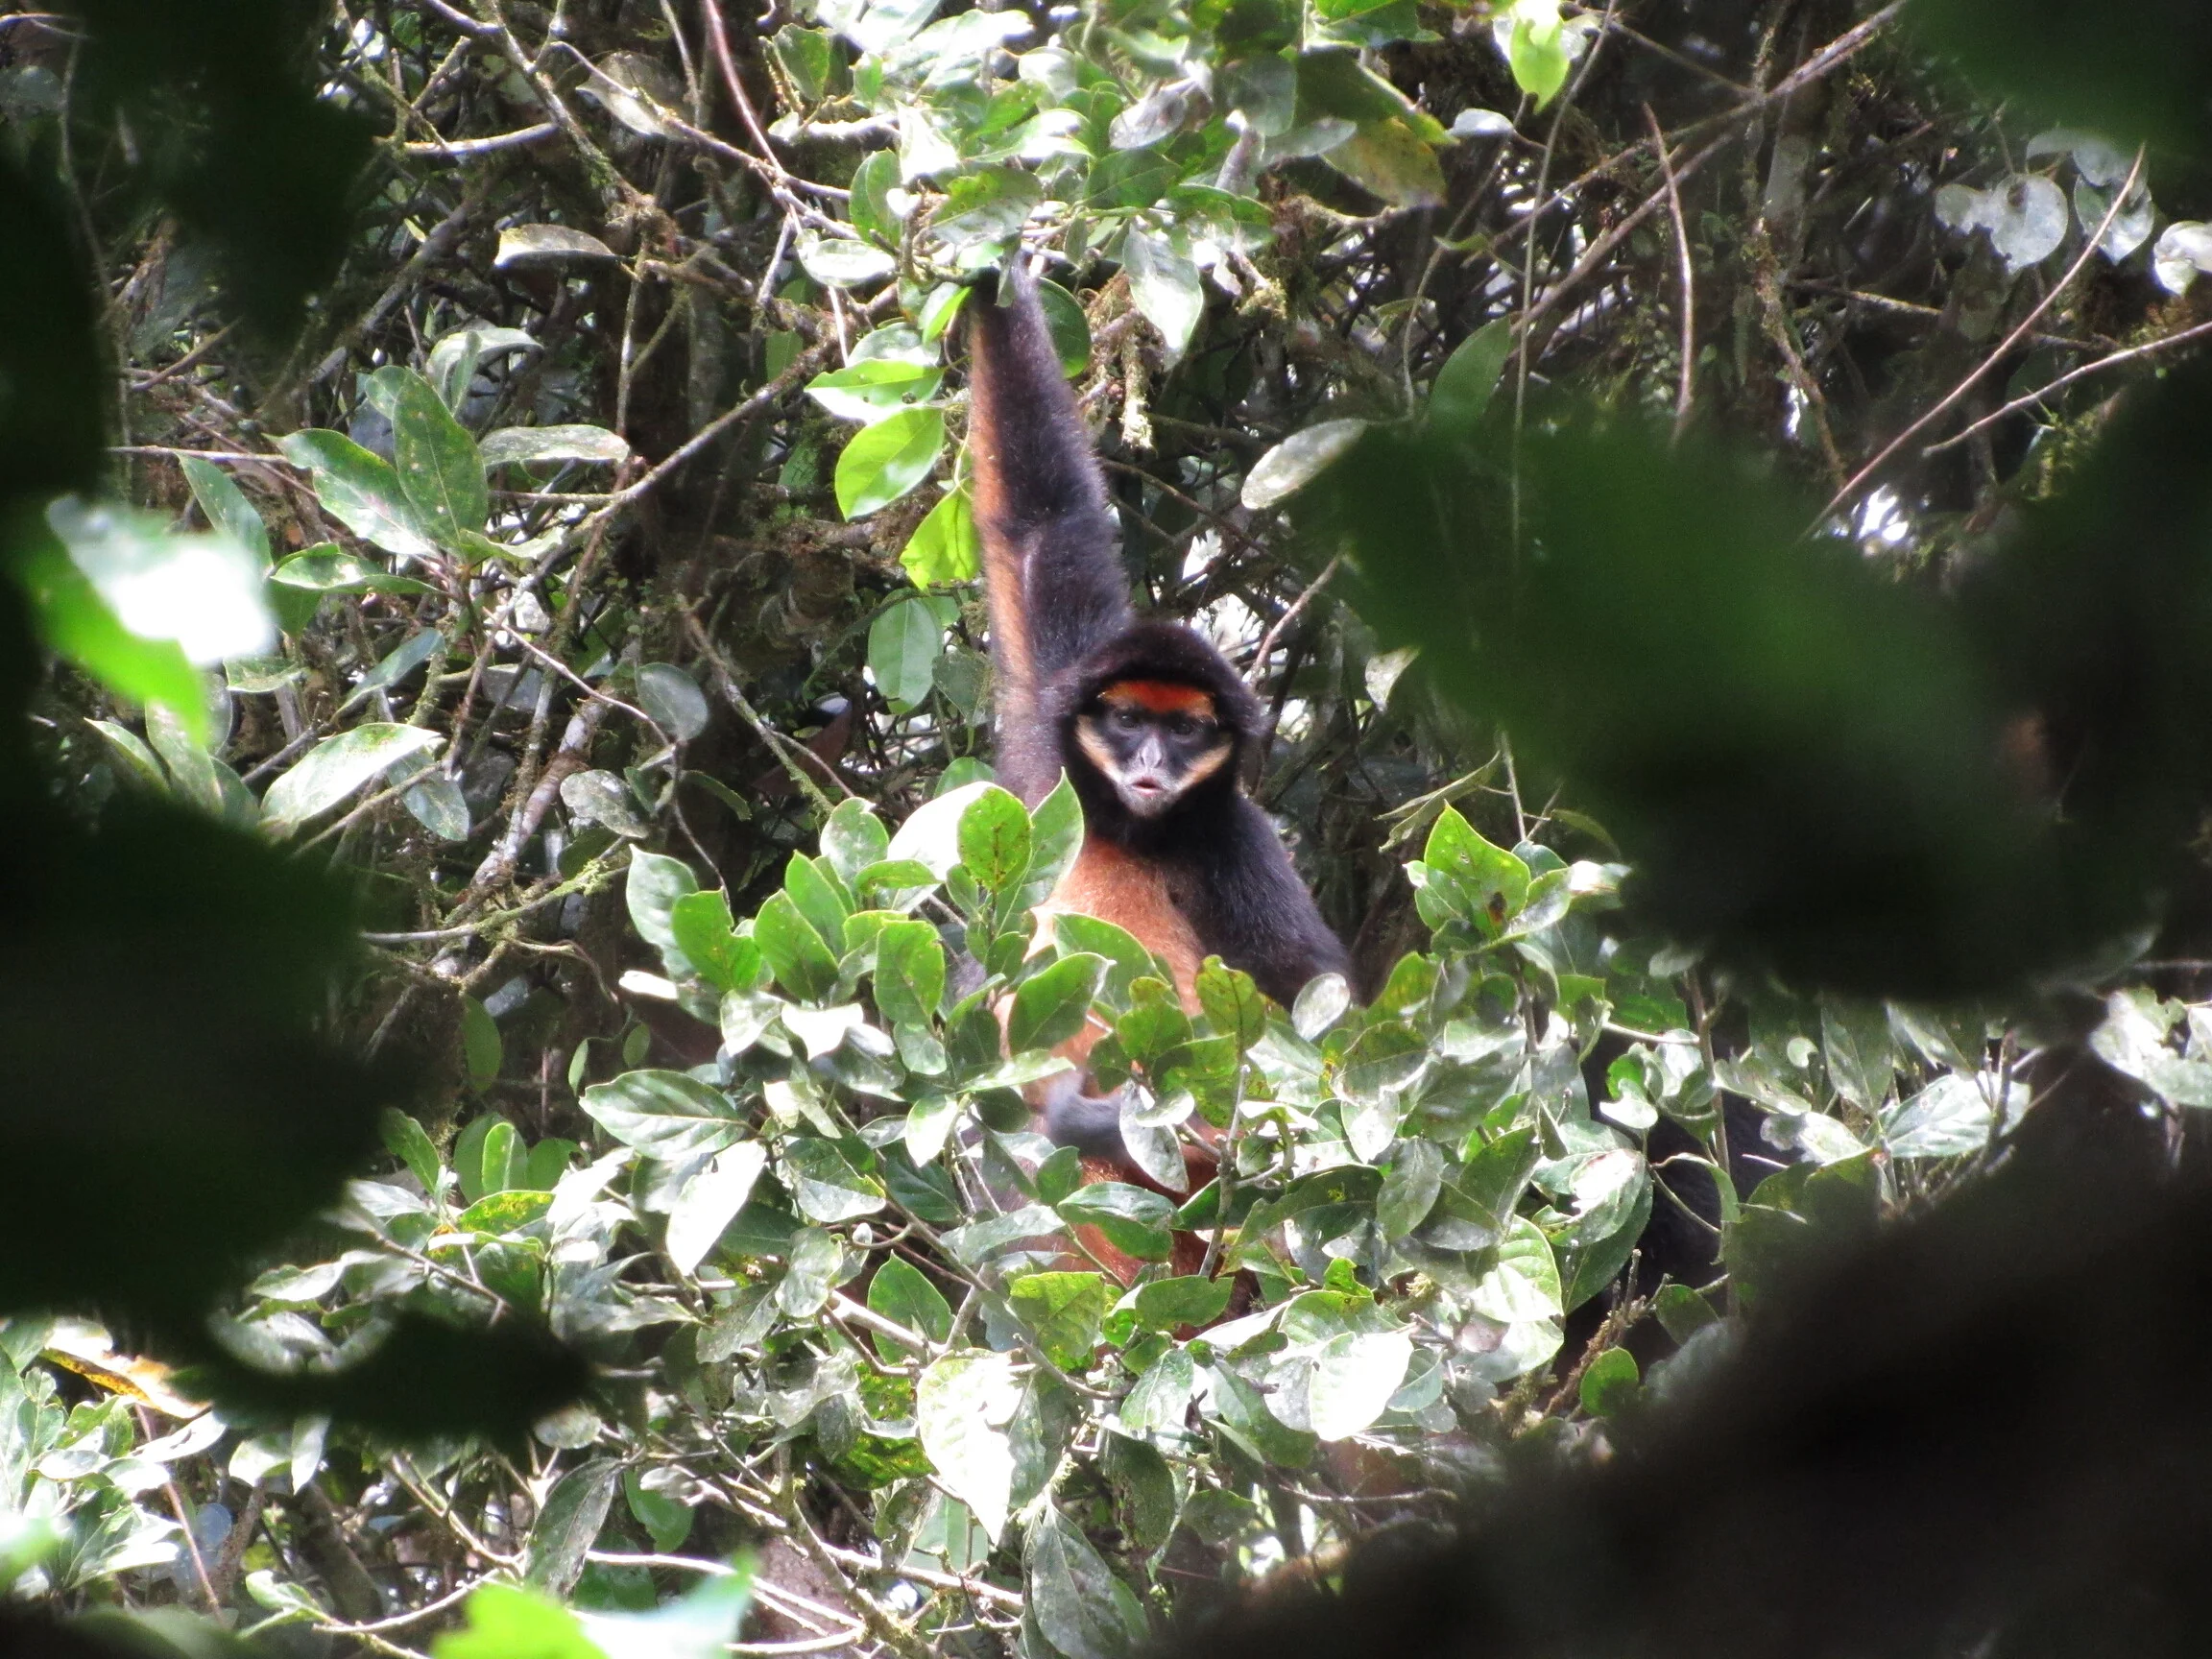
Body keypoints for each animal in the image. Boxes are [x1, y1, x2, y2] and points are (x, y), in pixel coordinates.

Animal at [962, 261, 1351, 1211]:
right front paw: (990, 264)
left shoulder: (1233, 839)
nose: (1147, 763)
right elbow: (1042, 522)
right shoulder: (1050, 741)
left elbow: (1322, 1028)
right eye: (1131, 719)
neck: (1129, 827)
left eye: (1183, 731)